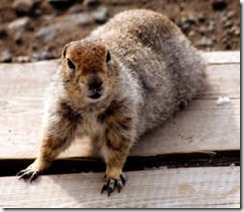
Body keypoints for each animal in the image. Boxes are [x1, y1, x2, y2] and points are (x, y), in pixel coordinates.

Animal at [17, 9, 206, 195]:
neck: (91, 107)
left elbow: (117, 147)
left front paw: (113, 176)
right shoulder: (60, 114)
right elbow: (51, 141)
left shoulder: (122, 114)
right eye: (69, 63)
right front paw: (35, 166)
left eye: (107, 56)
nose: (95, 83)